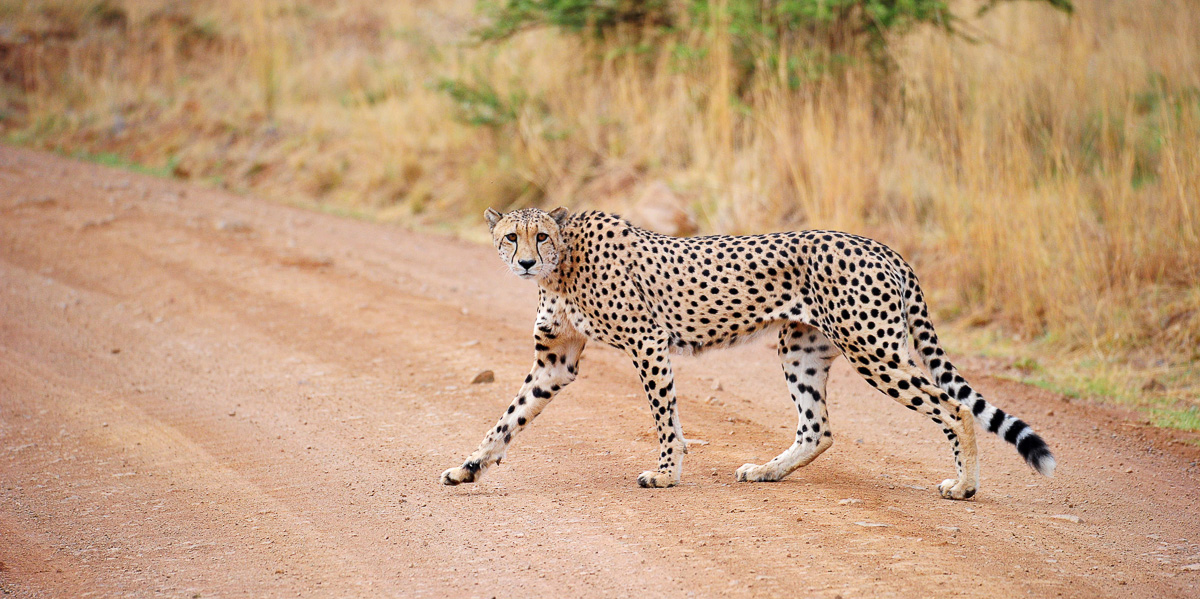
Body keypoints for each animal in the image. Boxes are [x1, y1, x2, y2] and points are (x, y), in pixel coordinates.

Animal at [440, 207, 1055, 499]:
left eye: (540, 236)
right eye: (510, 238)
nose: (524, 262)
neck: (562, 266)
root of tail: (883, 246)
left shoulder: (647, 342)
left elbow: (665, 418)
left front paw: (666, 475)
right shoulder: (555, 363)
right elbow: (507, 419)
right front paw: (469, 467)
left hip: (872, 349)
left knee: (953, 407)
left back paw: (965, 486)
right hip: (801, 348)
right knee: (818, 428)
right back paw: (767, 471)